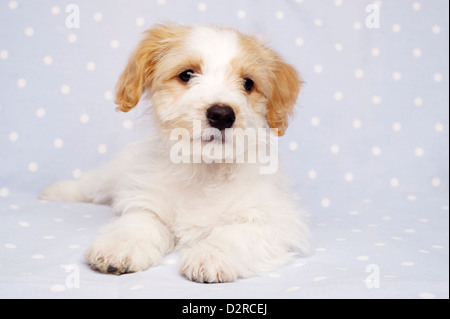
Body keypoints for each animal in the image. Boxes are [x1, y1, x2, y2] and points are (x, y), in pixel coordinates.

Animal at [40, 24, 310, 282]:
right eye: (187, 74)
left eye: (248, 83)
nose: (222, 114)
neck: (204, 169)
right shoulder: (147, 201)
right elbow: (139, 222)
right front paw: (120, 246)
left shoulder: (273, 219)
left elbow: (237, 234)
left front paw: (211, 255)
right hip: (116, 173)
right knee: (92, 185)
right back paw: (57, 191)